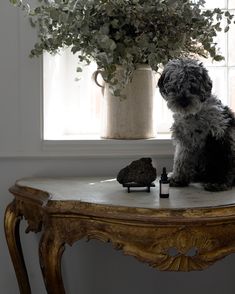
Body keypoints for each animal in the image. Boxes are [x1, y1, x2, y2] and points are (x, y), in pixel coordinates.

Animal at [158, 57, 235, 192]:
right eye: (175, 84)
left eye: (193, 85)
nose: (183, 102)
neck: (194, 116)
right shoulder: (185, 140)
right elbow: (181, 160)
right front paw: (178, 179)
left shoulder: (220, 136)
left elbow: (222, 160)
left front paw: (219, 182)